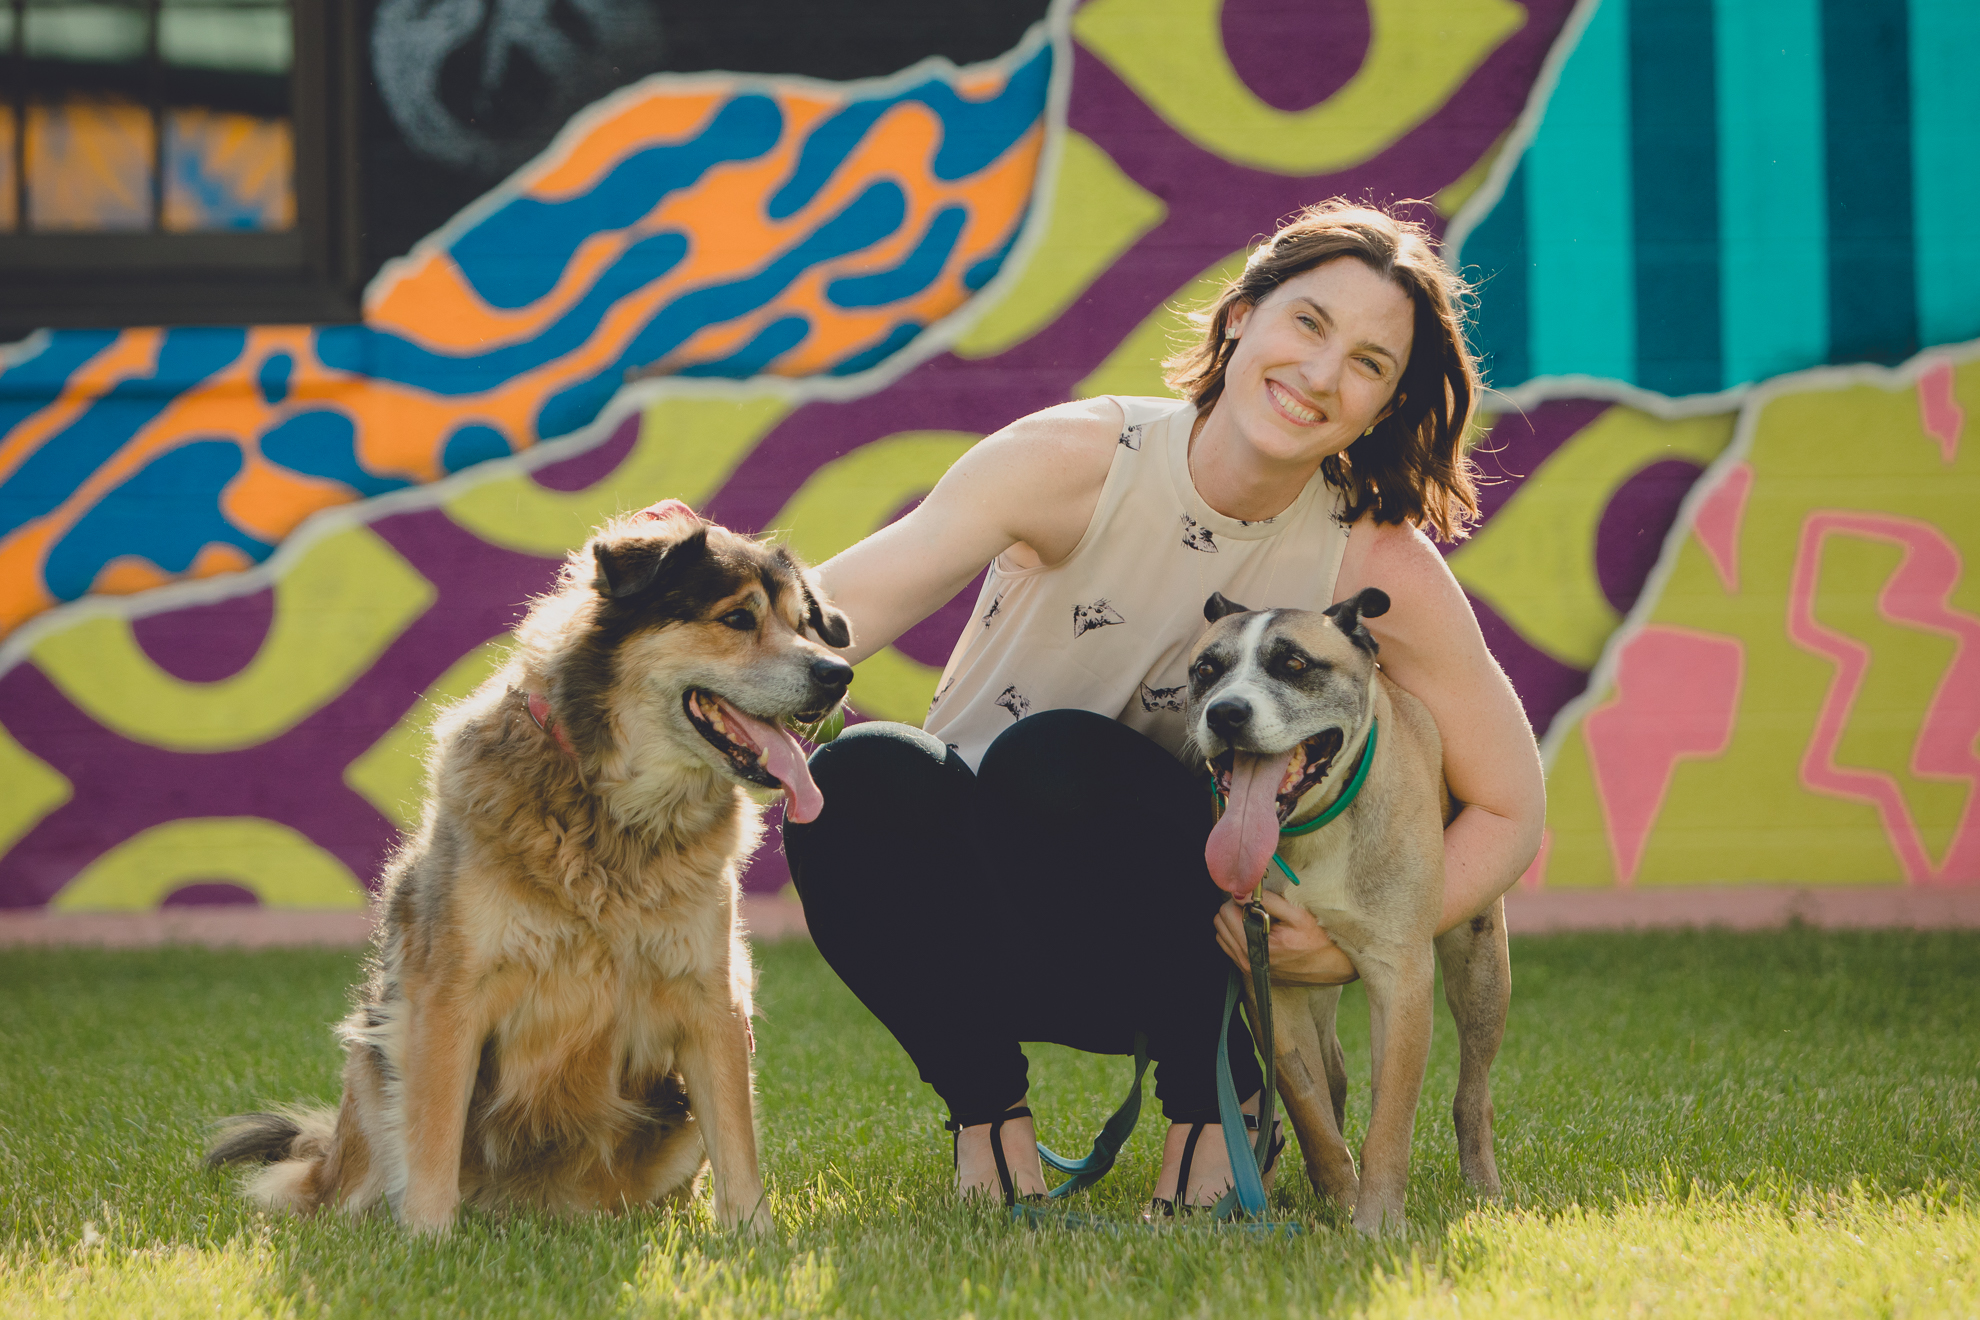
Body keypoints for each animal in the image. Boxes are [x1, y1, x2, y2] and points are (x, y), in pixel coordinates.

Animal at [208, 506, 851, 1242]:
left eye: (803, 624)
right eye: (739, 618)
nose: (838, 674)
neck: (614, 814)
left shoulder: (713, 998)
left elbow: (738, 1145)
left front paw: (753, 1239)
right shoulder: (449, 996)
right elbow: (432, 1137)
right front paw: (426, 1242)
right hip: (373, 1070)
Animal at [1180, 589, 1504, 1242]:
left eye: (1294, 664)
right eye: (1206, 670)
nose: (1225, 713)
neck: (1314, 827)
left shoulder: (1401, 980)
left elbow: (1391, 1121)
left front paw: (1376, 1222)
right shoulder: (1268, 980)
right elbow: (1308, 1107)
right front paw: (1338, 1199)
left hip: (1481, 965)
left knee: (1473, 1086)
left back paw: (1482, 1184)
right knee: (1331, 1077)